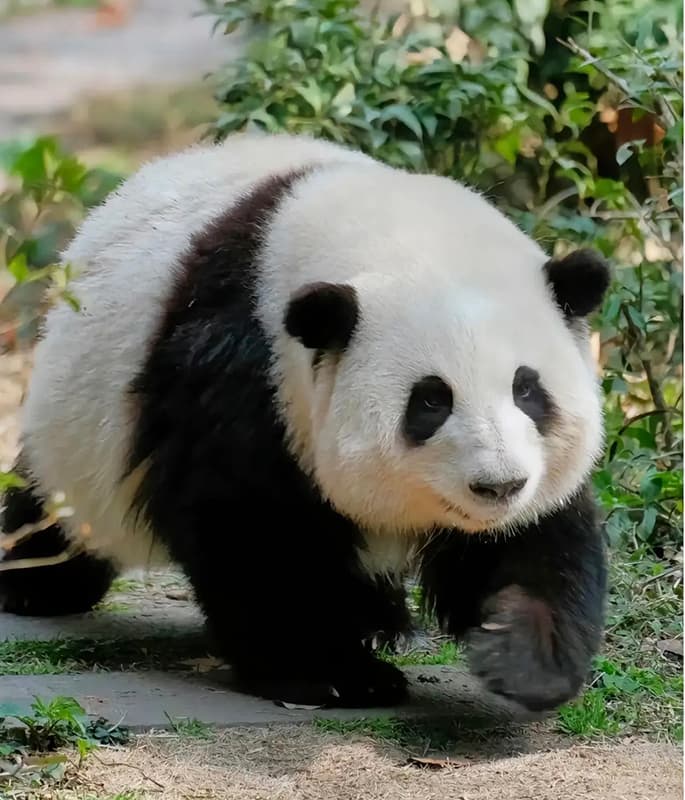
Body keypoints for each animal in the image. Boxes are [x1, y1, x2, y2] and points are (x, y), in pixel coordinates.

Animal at [0, 132, 610, 712]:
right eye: (431, 401)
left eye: (527, 389)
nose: (499, 485)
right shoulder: (246, 370)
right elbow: (254, 531)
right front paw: (336, 674)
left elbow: (537, 537)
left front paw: (522, 653)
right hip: (78, 423)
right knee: (54, 506)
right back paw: (34, 584)